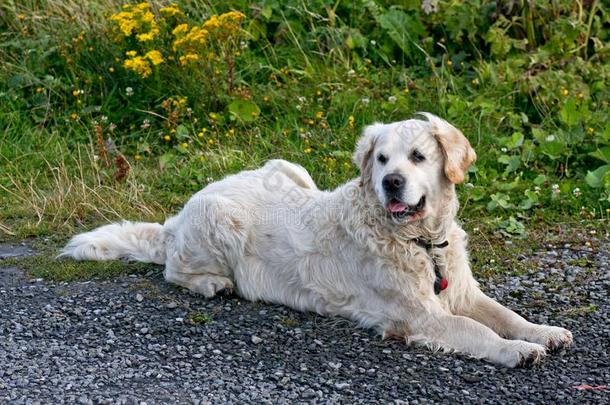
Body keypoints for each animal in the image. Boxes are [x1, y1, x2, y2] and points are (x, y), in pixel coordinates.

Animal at [61, 113, 568, 366]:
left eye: (418, 156)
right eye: (381, 159)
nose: (391, 183)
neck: (421, 242)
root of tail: (183, 211)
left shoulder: (460, 290)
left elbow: (504, 314)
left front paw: (542, 333)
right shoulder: (418, 315)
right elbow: (476, 330)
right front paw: (517, 351)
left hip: (290, 167)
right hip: (219, 221)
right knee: (173, 268)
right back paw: (212, 284)